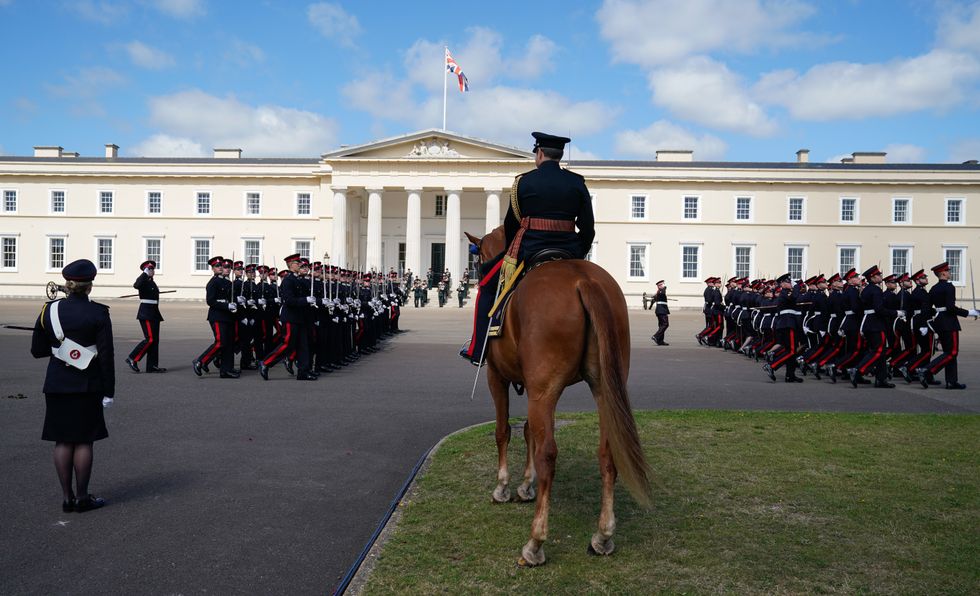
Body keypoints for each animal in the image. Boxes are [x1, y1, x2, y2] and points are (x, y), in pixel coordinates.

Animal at [468, 226, 652, 564]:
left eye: (479, 261)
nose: (475, 277)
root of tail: (584, 281)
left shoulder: (498, 377)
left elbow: (504, 431)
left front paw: (503, 487)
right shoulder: (534, 386)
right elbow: (528, 430)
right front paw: (526, 486)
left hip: (544, 390)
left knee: (549, 454)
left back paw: (535, 543)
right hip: (603, 387)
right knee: (607, 453)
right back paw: (603, 536)